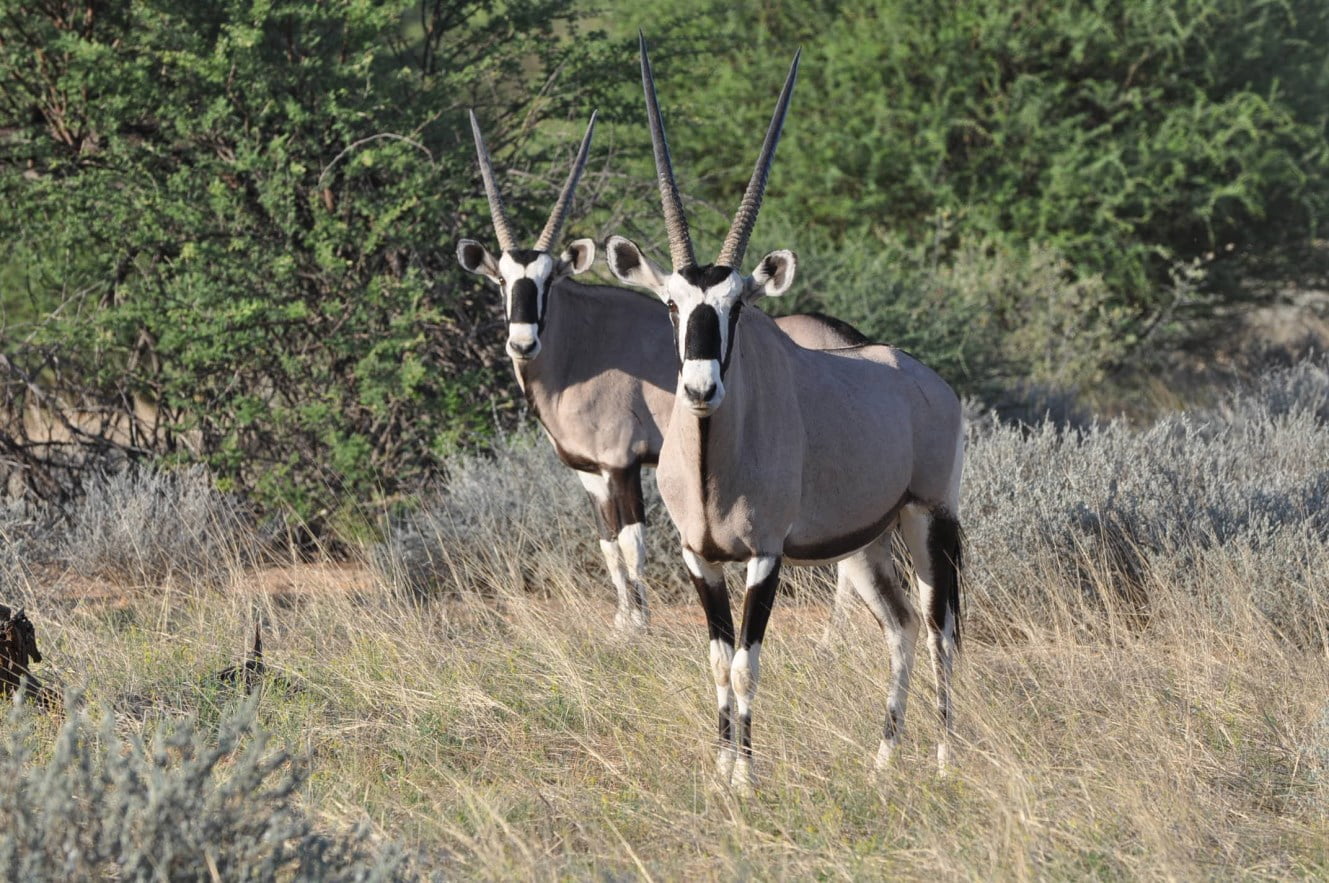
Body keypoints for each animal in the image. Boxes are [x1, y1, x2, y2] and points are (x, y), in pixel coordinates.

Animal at [456, 110, 870, 634]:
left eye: (548, 281)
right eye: (501, 281)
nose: (523, 342)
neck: (578, 346)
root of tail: (844, 336)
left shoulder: (622, 462)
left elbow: (631, 541)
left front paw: (640, 626)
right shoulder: (590, 472)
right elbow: (607, 544)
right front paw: (621, 620)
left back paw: (836, 632)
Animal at [604, 37, 965, 791]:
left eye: (737, 305)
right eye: (672, 304)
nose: (701, 388)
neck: (714, 461)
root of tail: (930, 383)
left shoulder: (764, 555)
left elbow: (747, 662)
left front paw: (745, 778)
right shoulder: (701, 556)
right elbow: (717, 661)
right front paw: (720, 770)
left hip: (929, 519)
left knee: (938, 624)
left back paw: (947, 760)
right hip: (864, 541)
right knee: (899, 625)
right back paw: (883, 758)